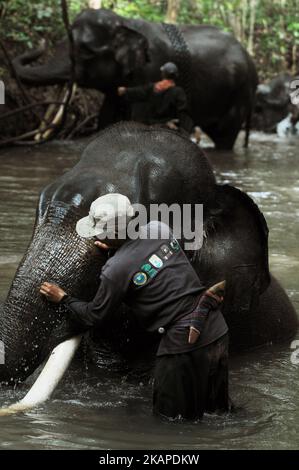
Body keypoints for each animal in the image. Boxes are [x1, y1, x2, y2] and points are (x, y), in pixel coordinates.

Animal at [12, 8, 260, 150]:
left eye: (85, 50)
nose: (41, 43)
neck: (125, 23)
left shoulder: (150, 70)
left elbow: (139, 117)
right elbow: (107, 116)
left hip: (239, 96)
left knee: (225, 135)